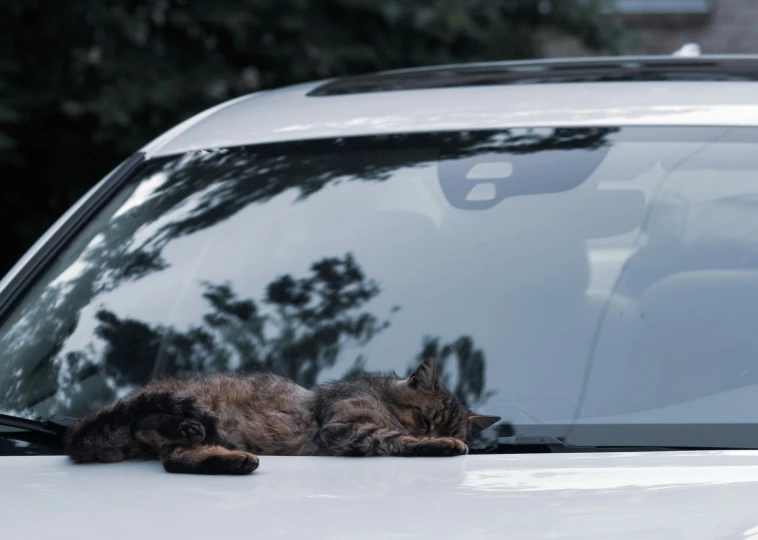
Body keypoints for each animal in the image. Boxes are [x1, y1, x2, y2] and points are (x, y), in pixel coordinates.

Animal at [65, 358, 502, 476]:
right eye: (426, 420)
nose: (434, 431)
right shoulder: (346, 428)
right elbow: (397, 440)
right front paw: (442, 444)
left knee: (173, 456)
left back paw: (221, 454)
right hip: (174, 401)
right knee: (147, 427)